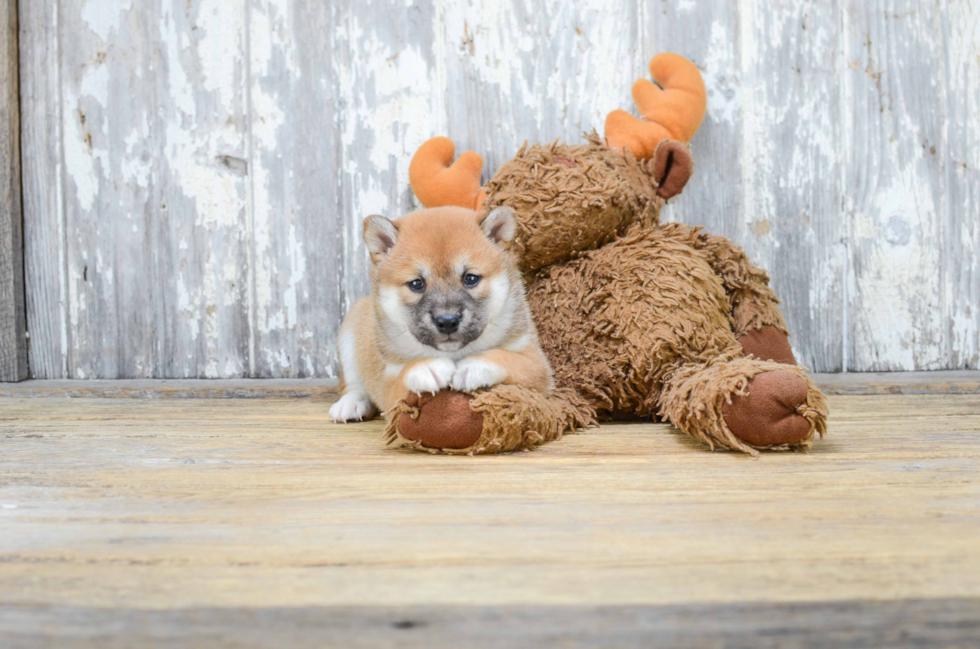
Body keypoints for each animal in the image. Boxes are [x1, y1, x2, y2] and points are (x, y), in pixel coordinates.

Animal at [332, 205, 552, 422]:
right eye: (416, 284)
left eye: (470, 278)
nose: (447, 322)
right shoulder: (390, 386)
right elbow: (405, 372)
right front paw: (425, 367)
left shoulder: (536, 362)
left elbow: (505, 358)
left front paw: (473, 366)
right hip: (349, 333)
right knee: (351, 385)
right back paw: (351, 404)